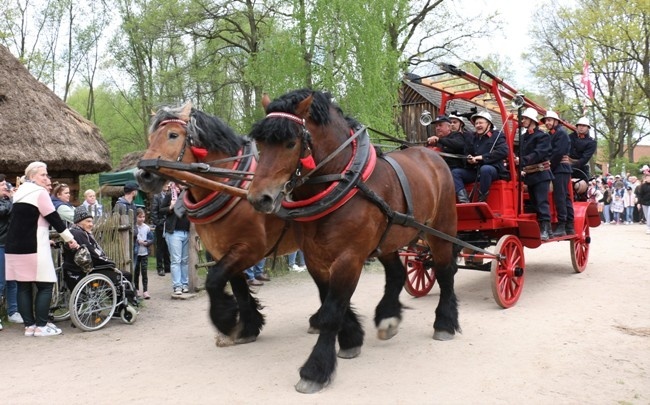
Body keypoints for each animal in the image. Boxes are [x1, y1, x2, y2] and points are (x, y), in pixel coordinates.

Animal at [135, 102, 296, 346]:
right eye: (151, 136)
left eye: (173, 135)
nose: (143, 175)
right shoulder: (225, 251)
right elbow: (238, 288)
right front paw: (246, 328)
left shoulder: (251, 248)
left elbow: (213, 281)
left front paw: (225, 320)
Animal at [246, 88, 458, 392]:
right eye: (261, 142)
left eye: (290, 143)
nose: (258, 198)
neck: (343, 181)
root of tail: (431, 154)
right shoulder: (314, 257)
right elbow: (328, 300)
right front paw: (350, 339)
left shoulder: (350, 257)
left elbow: (333, 310)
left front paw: (315, 370)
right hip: (389, 238)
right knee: (397, 273)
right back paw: (388, 318)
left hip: (441, 229)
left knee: (444, 272)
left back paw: (445, 323)